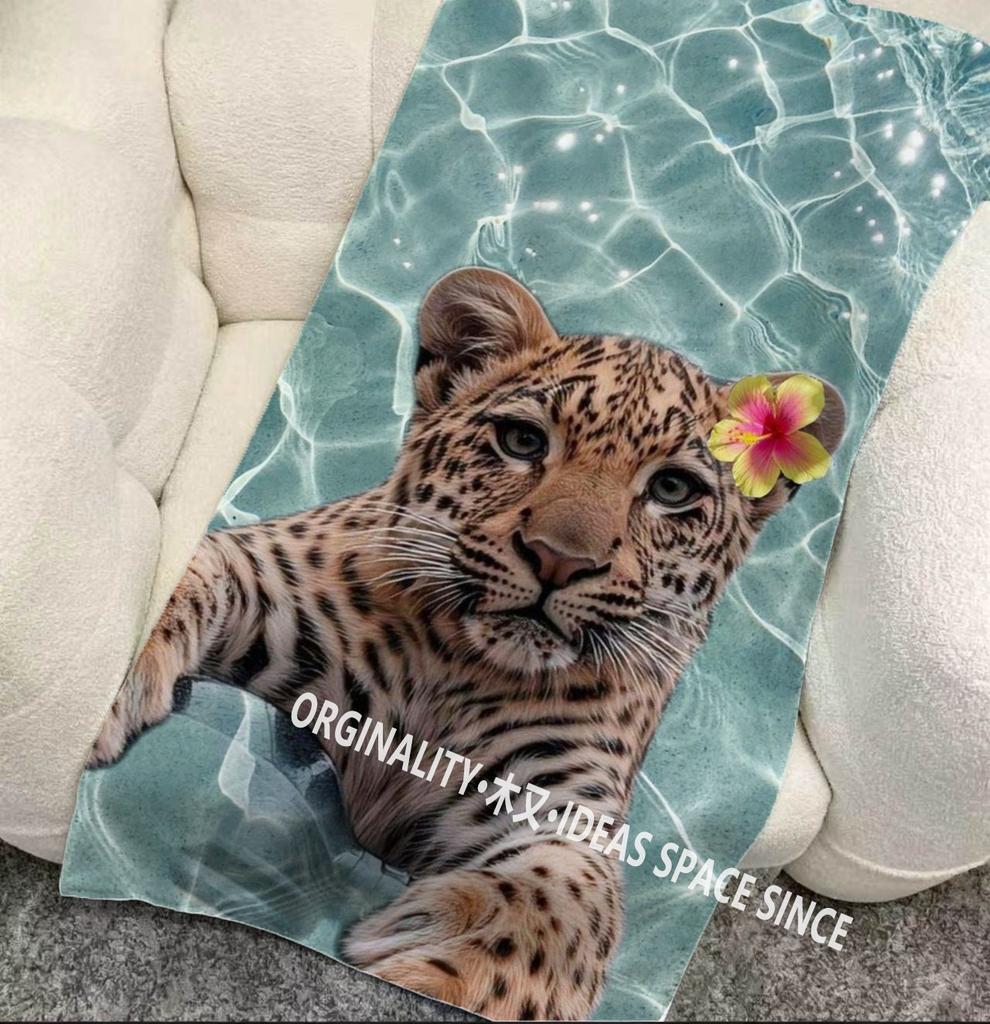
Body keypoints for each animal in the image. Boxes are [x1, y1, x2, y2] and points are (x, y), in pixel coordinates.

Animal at [90, 267, 843, 1021]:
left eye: (672, 488)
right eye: (522, 442)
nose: (559, 559)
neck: (459, 666)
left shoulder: (563, 801)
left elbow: (564, 906)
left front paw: (434, 954)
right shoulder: (272, 585)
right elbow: (199, 568)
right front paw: (114, 691)